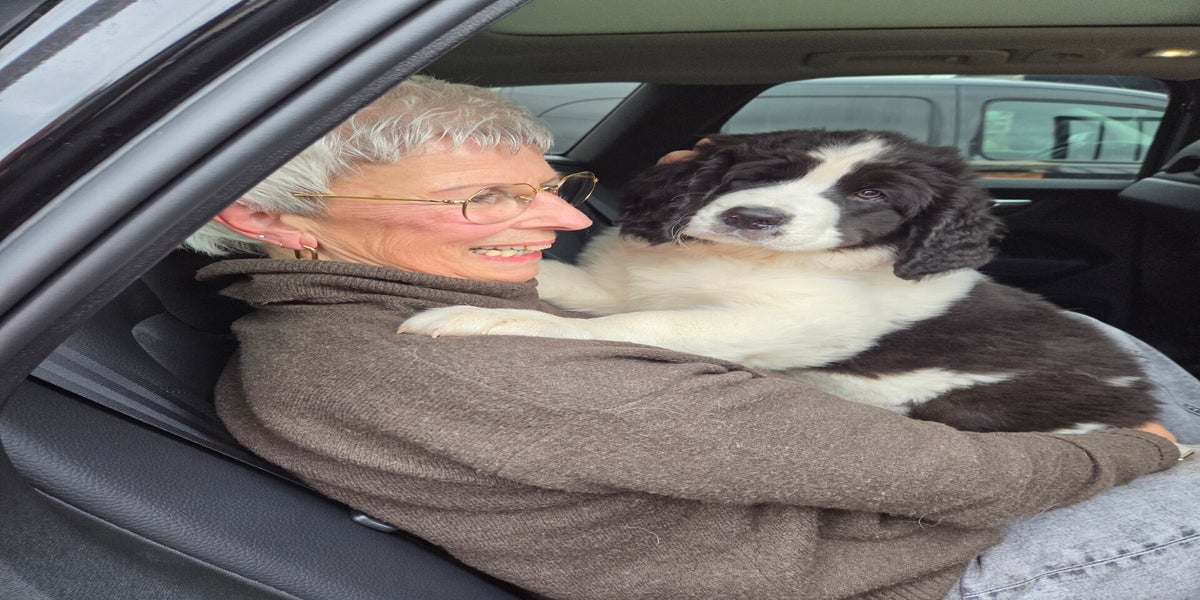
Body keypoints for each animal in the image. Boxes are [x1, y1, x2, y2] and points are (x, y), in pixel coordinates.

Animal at [401, 129, 1159, 433]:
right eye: (763, 171)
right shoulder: (627, 284)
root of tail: (1139, 393)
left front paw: (484, 319)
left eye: (874, 196)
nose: (753, 216)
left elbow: (643, 324)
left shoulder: (788, 321)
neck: (742, 260)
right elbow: (583, 288)